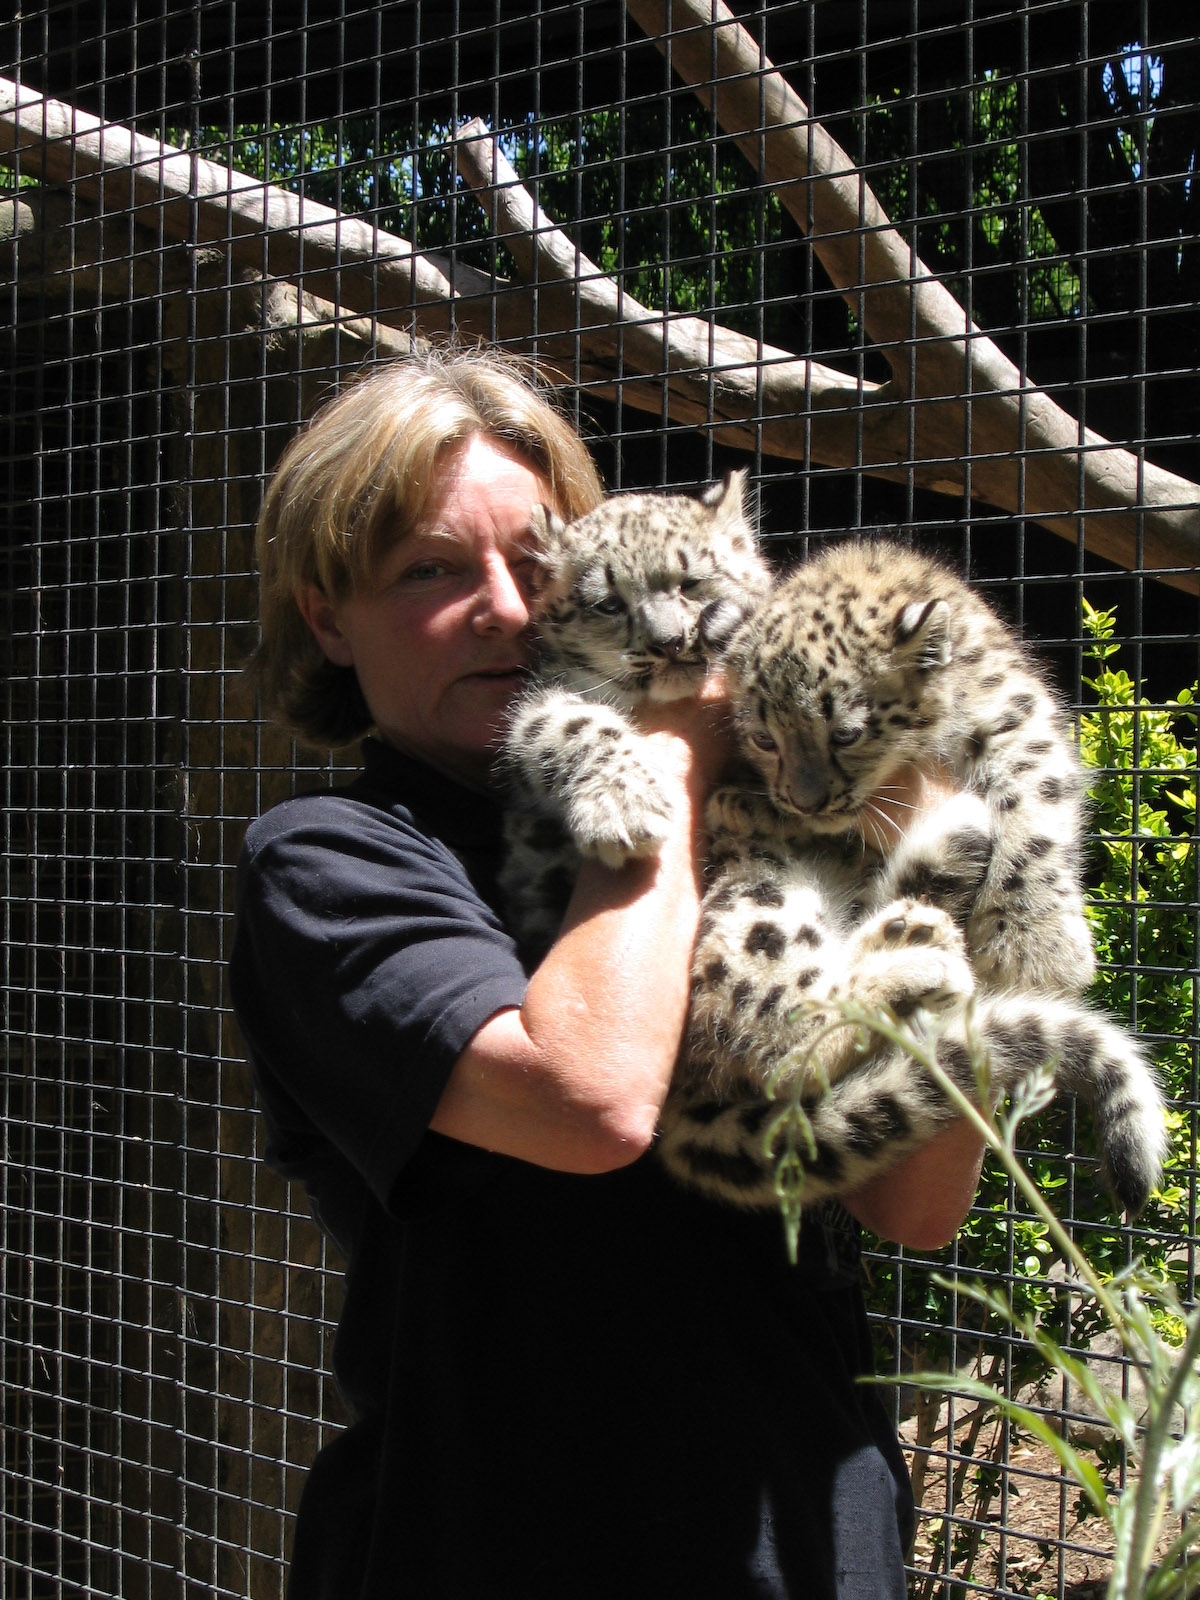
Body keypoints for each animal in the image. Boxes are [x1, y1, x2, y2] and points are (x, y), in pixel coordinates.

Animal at [499, 470, 772, 963]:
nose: (670, 641)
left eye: (691, 582)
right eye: (609, 604)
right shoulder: (542, 698)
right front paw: (624, 808)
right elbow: (574, 726)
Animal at [658, 537, 1167, 1219]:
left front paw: (1033, 945)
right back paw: (915, 954)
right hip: (762, 907)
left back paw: (923, 908)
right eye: (763, 737)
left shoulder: (1015, 716)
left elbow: (1034, 809)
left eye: (846, 733)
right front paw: (745, 805)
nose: (805, 801)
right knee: (774, 1046)